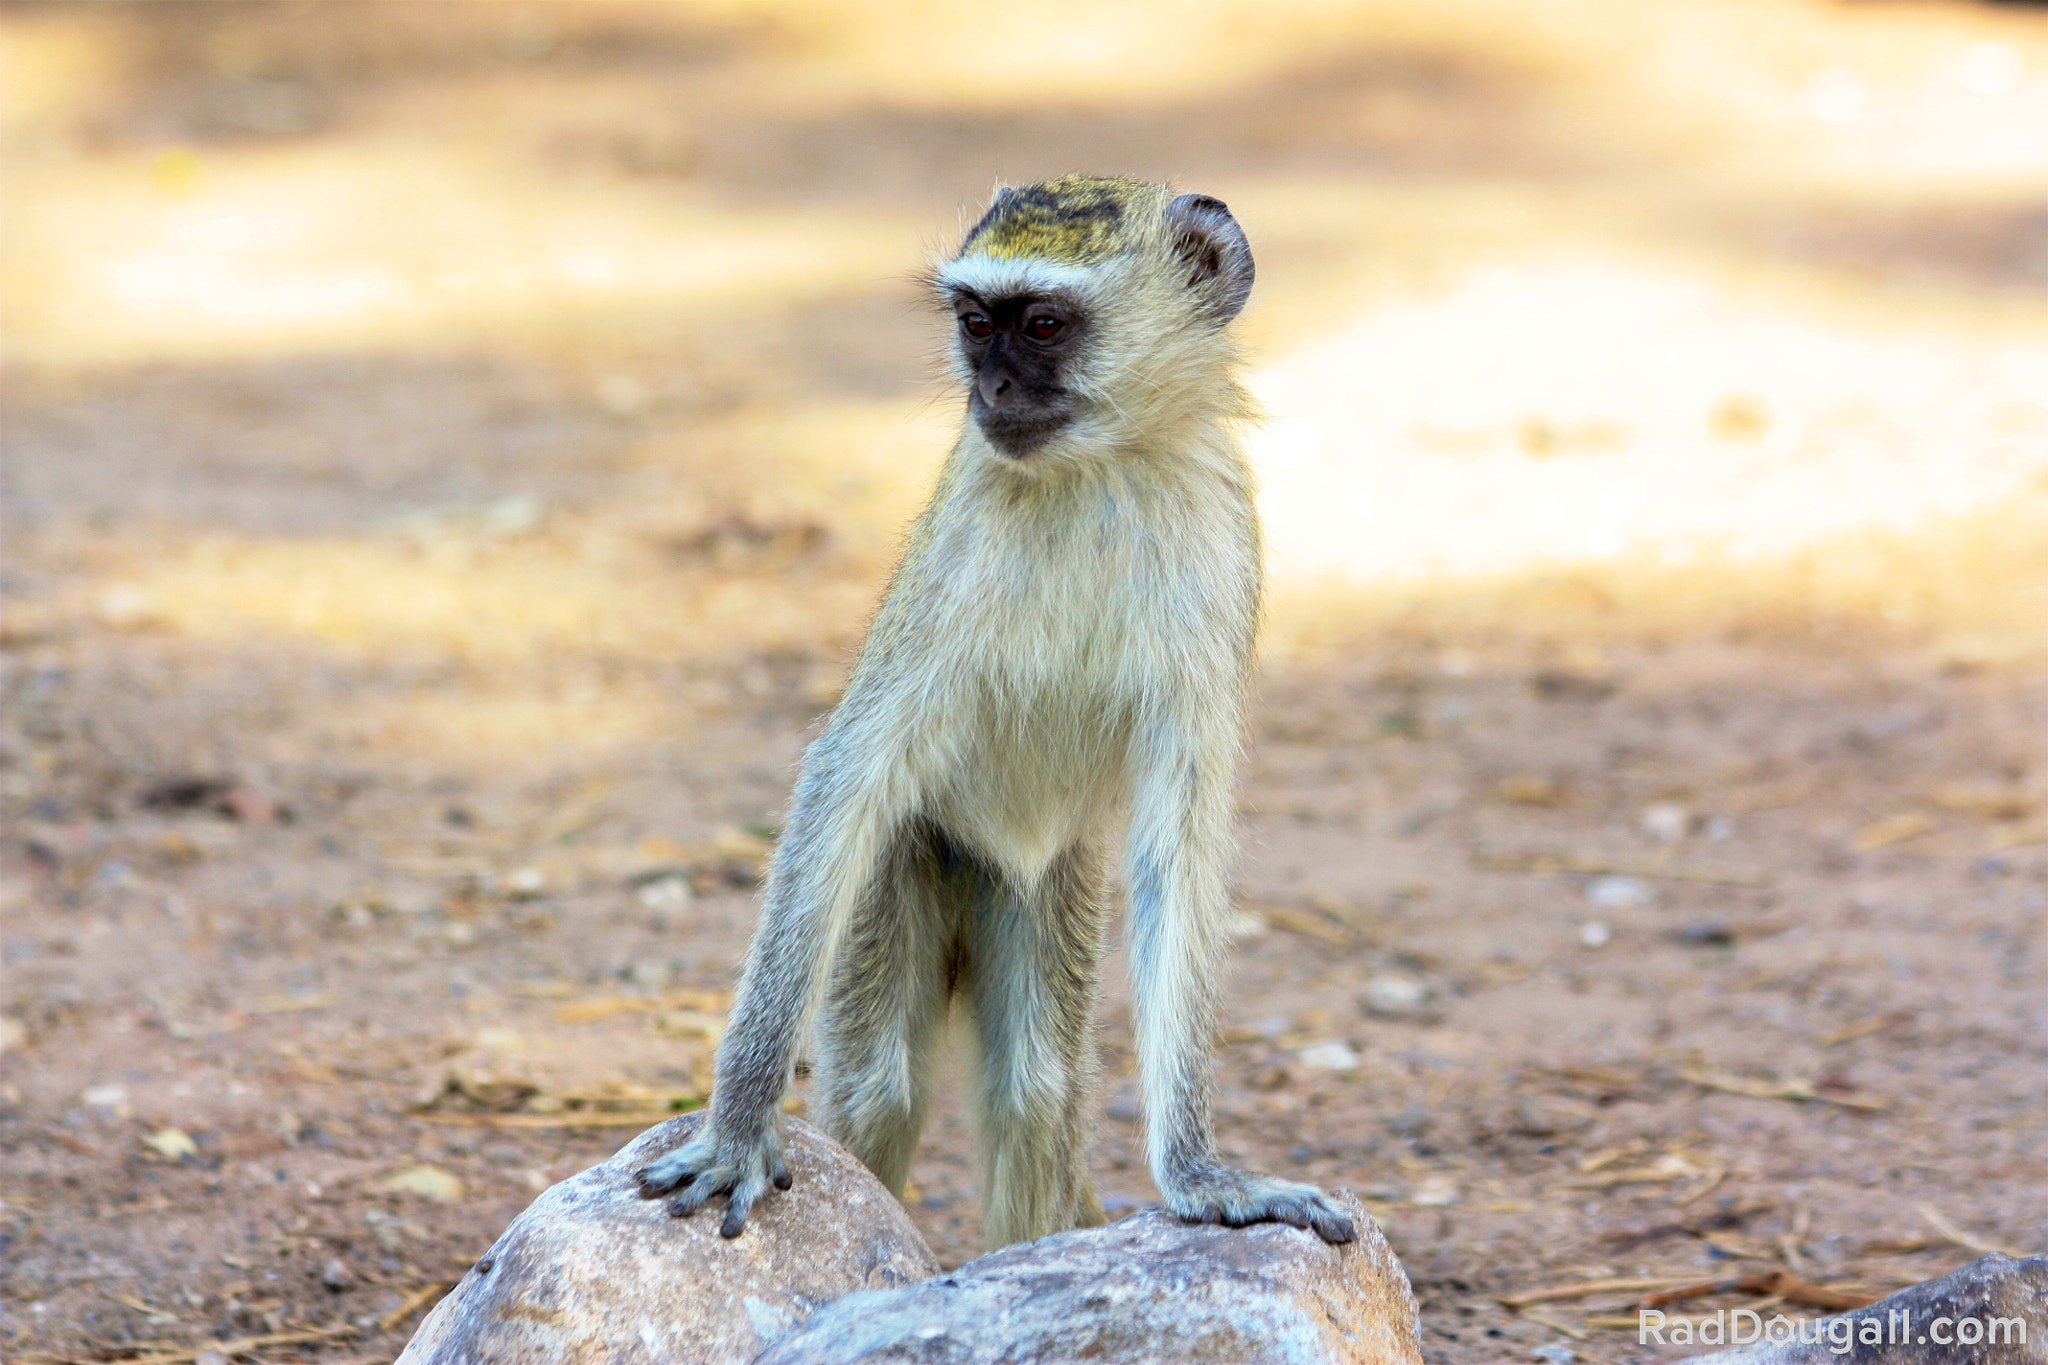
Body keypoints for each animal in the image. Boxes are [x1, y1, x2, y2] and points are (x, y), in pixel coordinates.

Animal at [635, 176, 1355, 1250]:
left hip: (1045, 885)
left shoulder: (1226, 538)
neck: (1100, 471)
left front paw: (1198, 1172)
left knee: (1035, 1089)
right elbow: (849, 772)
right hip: (909, 862)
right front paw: (738, 1126)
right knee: (881, 1082)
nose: (993, 394)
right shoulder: (955, 551)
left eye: (1044, 325)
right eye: (977, 324)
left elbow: (1177, 838)